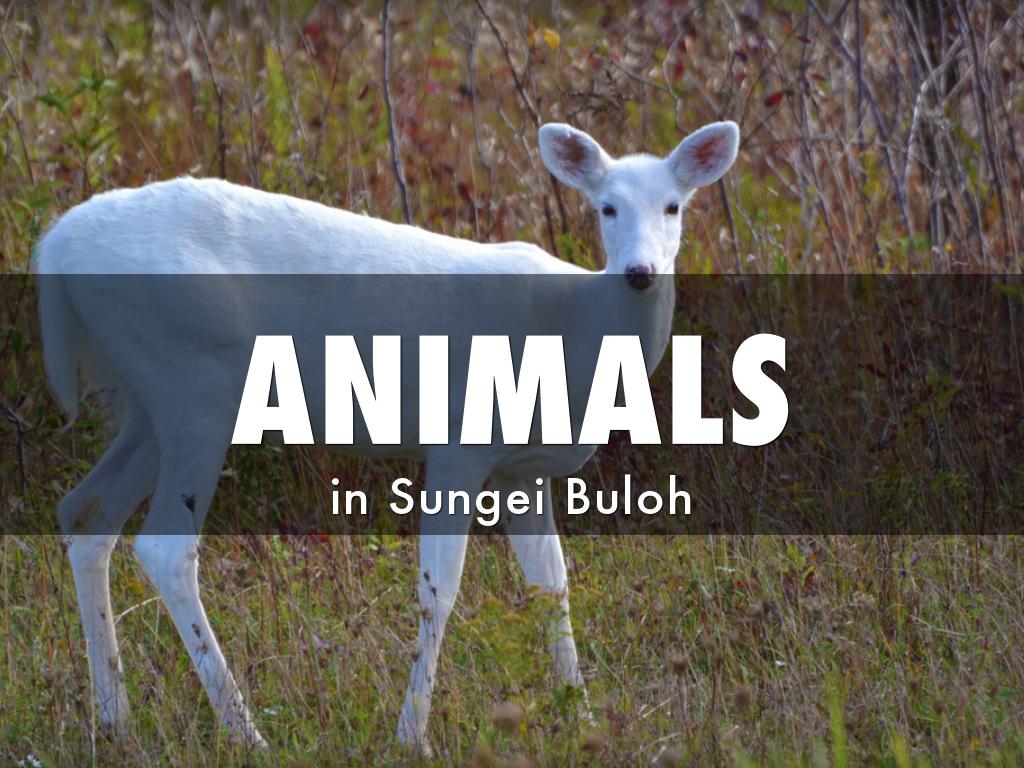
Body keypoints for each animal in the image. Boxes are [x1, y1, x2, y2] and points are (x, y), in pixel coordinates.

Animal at [36, 120, 739, 752]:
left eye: (674, 206)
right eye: (606, 207)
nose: (640, 271)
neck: (575, 332)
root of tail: (53, 247)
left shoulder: (525, 470)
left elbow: (552, 586)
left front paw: (584, 720)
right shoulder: (460, 443)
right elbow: (439, 588)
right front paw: (412, 736)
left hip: (147, 402)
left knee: (86, 512)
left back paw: (114, 719)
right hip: (195, 382)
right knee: (163, 548)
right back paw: (246, 733)